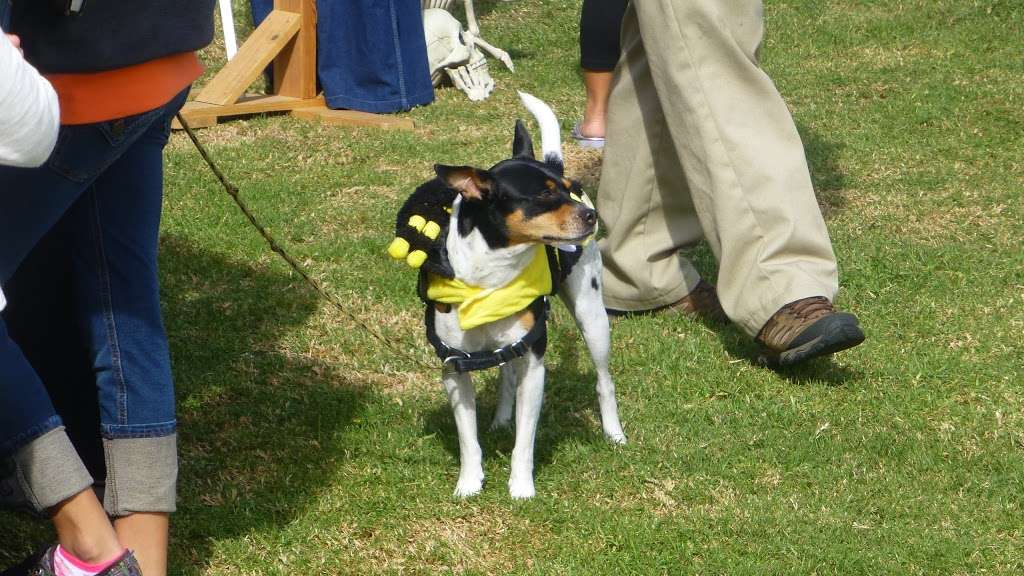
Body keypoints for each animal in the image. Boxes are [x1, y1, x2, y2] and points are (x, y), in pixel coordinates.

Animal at [409, 91, 622, 496]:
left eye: (569, 188)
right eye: (543, 197)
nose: (590, 215)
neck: (491, 277)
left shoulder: (534, 366)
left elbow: (525, 440)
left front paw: (521, 488)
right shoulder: (455, 367)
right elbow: (468, 438)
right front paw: (469, 484)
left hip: (593, 318)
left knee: (604, 380)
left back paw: (614, 434)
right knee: (505, 372)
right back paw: (501, 420)